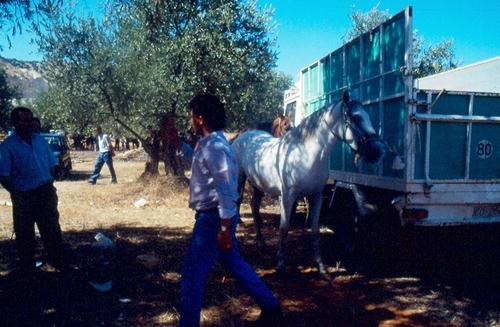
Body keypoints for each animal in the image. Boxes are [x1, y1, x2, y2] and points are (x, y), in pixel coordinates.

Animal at [230, 91, 382, 278]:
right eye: (355, 117)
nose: (377, 151)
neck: (306, 155)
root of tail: (243, 136)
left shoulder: (316, 196)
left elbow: (315, 230)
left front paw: (322, 268)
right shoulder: (287, 197)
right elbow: (284, 228)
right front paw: (281, 265)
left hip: (258, 184)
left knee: (254, 206)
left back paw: (260, 240)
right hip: (240, 178)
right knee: (238, 202)